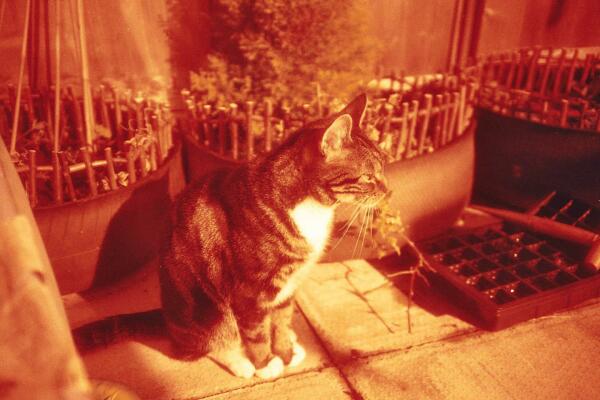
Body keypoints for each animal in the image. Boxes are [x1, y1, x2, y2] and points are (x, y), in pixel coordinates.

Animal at [158, 94, 390, 378]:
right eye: (368, 176)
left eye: (383, 168)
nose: (387, 190)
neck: (311, 206)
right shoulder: (249, 291)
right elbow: (256, 333)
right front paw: (266, 362)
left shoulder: (288, 283)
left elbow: (281, 320)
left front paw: (285, 351)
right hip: (206, 309)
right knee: (209, 341)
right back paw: (240, 362)